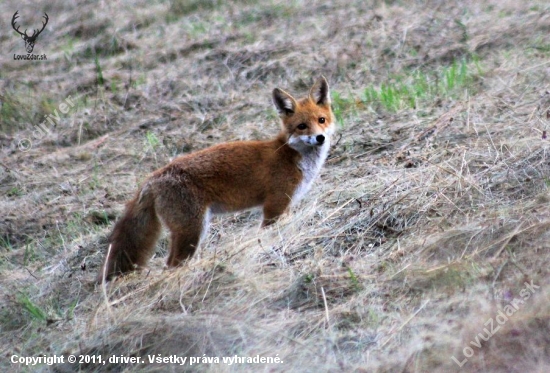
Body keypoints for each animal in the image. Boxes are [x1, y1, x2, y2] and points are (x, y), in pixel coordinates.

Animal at [98, 76, 336, 282]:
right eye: (302, 126)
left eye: (321, 120)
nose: (320, 138)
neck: (293, 157)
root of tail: (152, 178)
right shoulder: (274, 206)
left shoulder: (285, 207)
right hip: (192, 230)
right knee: (171, 266)